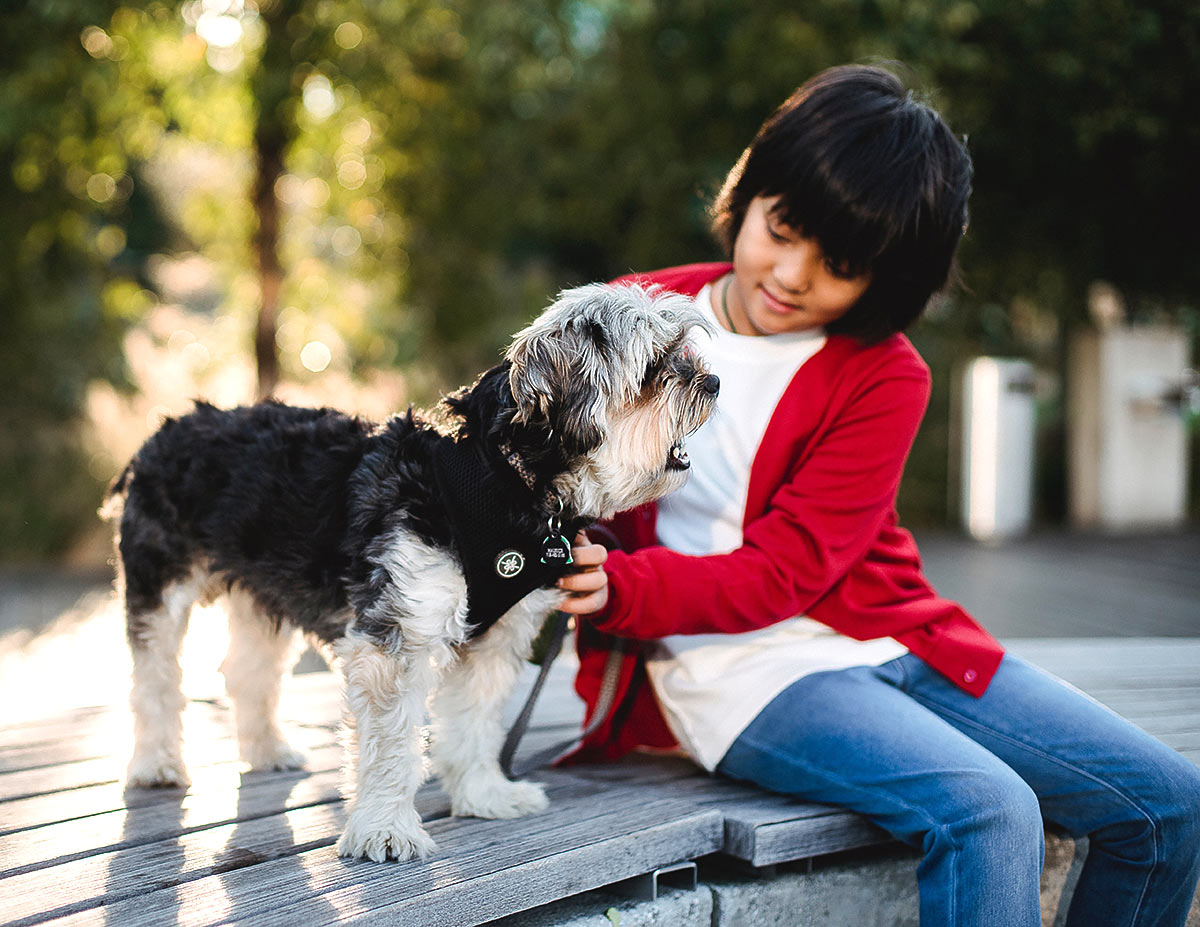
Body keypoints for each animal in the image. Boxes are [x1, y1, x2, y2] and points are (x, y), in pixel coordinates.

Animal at [103, 282, 715, 859]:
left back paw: (267, 751)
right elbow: (392, 744)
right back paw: (156, 764)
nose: (709, 382)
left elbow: (474, 722)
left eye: (682, 351)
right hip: (159, 585)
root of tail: (162, 432)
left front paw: (483, 794)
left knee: (248, 672)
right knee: (155, 677)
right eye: (655, 366)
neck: (500, 479)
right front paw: (385, 829)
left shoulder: (493, 641)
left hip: (265, 594)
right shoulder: (397, 634)